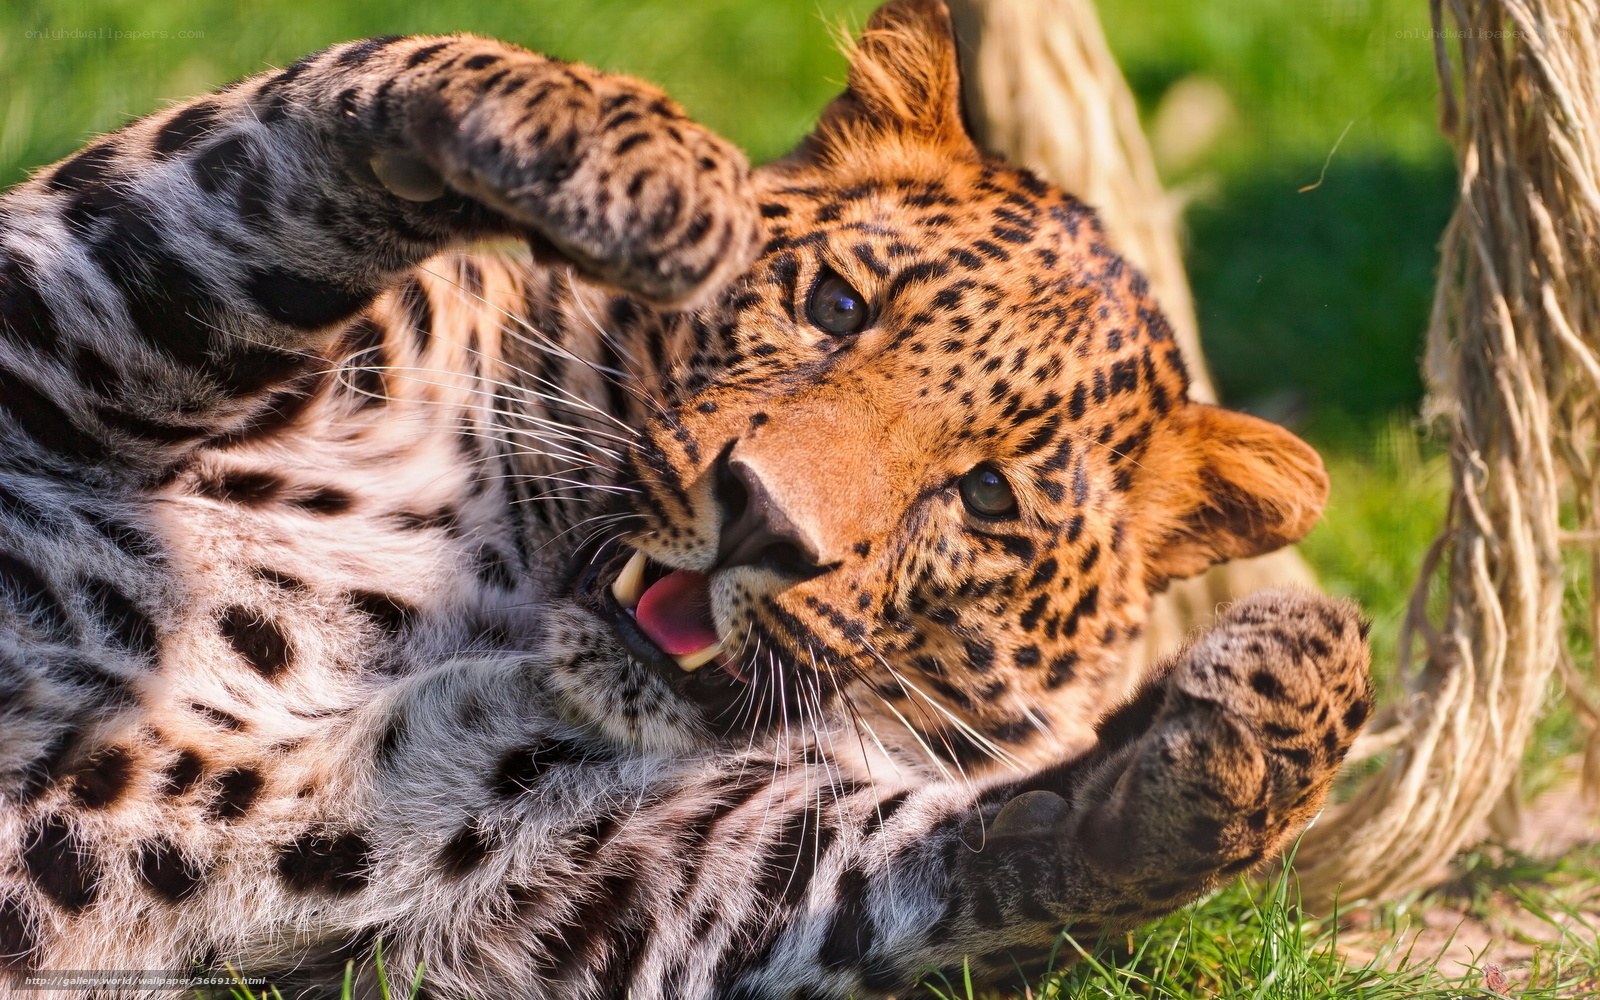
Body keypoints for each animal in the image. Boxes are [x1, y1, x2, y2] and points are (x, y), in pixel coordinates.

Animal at [0, 1, 1373, 997]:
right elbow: (282, 154)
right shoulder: (52, 322)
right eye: (834, 304)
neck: (486, 586)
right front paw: (625, 158)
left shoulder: (566, 867)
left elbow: (970, 857)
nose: (764, 518)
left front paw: (1286, 695)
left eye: (985, 496)